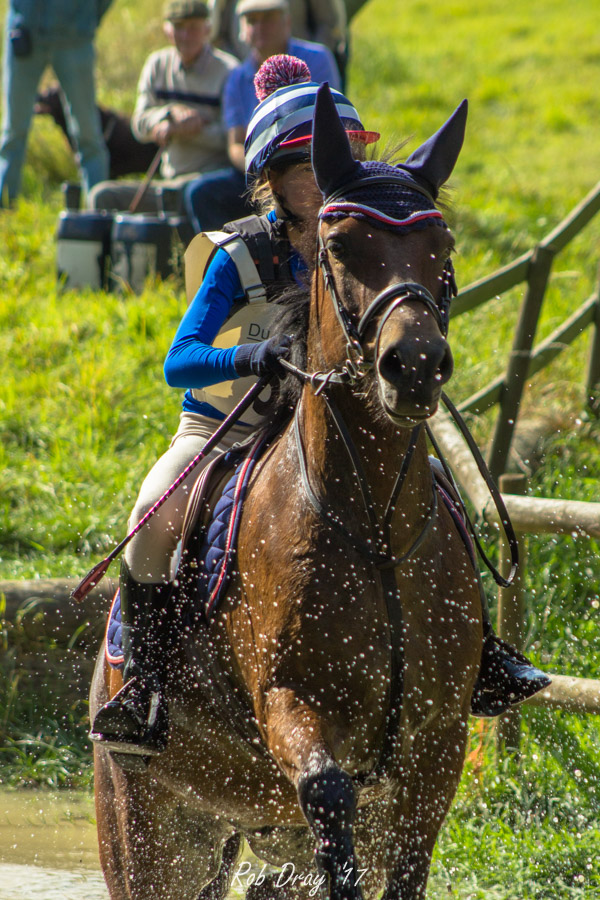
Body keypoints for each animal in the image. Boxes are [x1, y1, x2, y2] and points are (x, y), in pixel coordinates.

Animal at [90, 85, 482, 900]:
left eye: (442, 248)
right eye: (341, 247)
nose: (415, 365)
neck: (374, 525)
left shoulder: (438, 741)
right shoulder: (290, 708)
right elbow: (329, 798)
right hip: (145, 825)